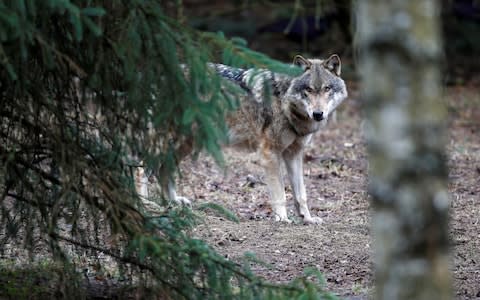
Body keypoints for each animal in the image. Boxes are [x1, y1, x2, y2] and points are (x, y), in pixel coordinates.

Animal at [137, 54, 346, 224]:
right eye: (308, 90)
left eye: (327, 88)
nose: (318, 114)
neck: (285, 102)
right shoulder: (269, 153)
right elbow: (280, 193)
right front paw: (282, 218)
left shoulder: (294, 154)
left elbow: (301, 194)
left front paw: (307, 219)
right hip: (165, 141)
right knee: (140, 170)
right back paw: (145, 205)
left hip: (187, 144)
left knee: (164, 170)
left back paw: (173, 202)